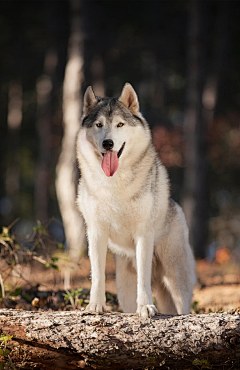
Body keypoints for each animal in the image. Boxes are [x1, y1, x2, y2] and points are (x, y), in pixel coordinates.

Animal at [76, 84, 196, 318]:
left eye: (120, 124)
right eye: (99, 125)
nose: (108, 143)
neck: (114, 184)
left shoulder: (143, 234)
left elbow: (144, 277)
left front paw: (146, 307)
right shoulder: (96, 233)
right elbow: (97, 274)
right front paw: (95, 305)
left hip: (176, 278)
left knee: (182, 307)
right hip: (123, 288)